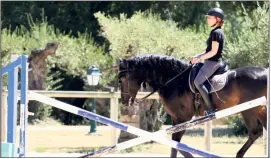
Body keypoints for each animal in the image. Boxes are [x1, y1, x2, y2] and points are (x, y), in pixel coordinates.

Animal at [118, 54, 268, 158]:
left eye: (123, 79)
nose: (124, 102)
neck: (175, 80)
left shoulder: (183, 118)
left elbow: (176, 143)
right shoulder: (175, 119)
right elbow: (175, 145)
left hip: (249, 110)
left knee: (255, 132)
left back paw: (239, 154)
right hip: (260, 110)